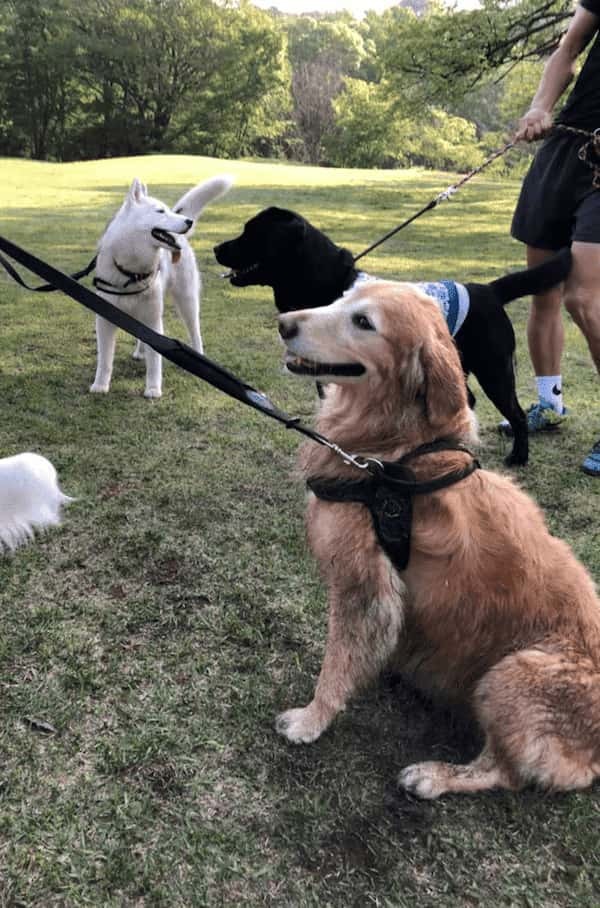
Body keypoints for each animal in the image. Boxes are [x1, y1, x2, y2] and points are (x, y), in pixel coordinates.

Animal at [91, 174, 232, 398]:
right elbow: (104, 360)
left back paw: (198, 355)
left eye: (166, 210)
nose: (188, 222)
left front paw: (153, 388)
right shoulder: (105, 320)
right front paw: (100, 385)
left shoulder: (153, 319)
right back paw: (140, 352)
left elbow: (155, 361)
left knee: (195, 332)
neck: (131, 272)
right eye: (159, 211)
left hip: (187, 302)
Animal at [213, 204, 568, 462]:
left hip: (495, 370)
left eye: (251, 233)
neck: (326, 282)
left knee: (516, 414)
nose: (216, 247)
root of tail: (490, 290)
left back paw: (519, 457)